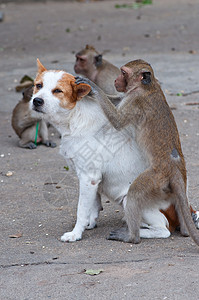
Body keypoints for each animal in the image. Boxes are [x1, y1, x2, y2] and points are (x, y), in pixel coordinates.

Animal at [29, 59, 199, 243]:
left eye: (57, 91)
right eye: (38, 85)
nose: (37, 101)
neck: (74, 118)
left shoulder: (89, 178)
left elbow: (81, 210)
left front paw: (75, 233)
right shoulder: (92, 180)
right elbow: (93, 205)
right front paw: (89, 223)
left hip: (130, 199)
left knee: (162, 230)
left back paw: (132, 233)